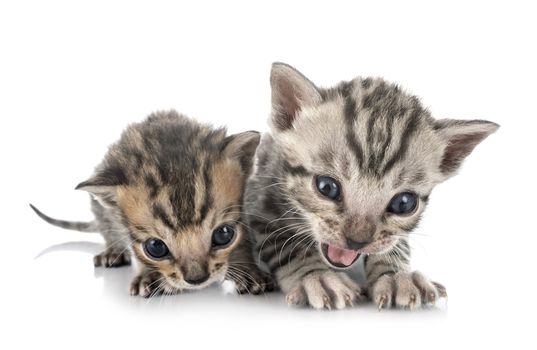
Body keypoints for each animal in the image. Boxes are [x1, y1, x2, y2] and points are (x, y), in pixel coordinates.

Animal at [29, 110, 272, 296]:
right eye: (156, 247)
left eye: (224, 234)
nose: (197, 279)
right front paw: (149, 276)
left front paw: (247, 270)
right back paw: (112, 251)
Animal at [245, 63, 500, 308]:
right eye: (327, 187)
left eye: (403, 203)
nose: (357, 241)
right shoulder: (261, 206)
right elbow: (288, 246)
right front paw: (317, 276)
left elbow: (395, 245)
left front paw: (396, 276)